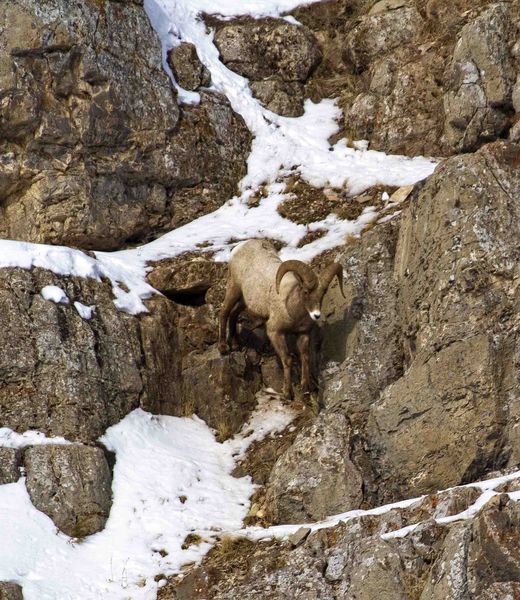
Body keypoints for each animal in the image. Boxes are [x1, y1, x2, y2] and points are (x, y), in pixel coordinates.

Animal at [217, 239, 344, 398]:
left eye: (323, 293)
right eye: (305, 291)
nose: (316, 315)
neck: (293, 312)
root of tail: (241, 246)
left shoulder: (303, 334)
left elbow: (305, 357)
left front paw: (305, 388)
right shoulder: (275, 332)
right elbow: (287, 359)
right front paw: (287, 392)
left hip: (244, 301)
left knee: (233, 314)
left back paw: (235, 344)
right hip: (234, 288)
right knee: (224, 312)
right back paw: (223, 348)